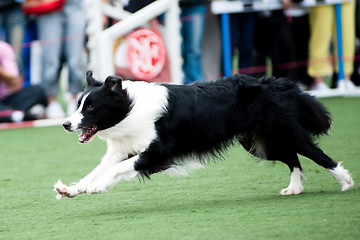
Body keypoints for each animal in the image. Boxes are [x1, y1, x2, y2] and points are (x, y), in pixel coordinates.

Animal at [54, 71, 354, 199]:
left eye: (91, 107)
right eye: (79, 104)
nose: (66, 124)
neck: (130, 108)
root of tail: (272, 81)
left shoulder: (158, 151)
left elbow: (117, 169)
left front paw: (95, 187)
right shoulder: (121, 148)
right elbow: (97, 169)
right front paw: (72, 189)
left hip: (281, 130)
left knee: (315, 153)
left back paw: (345, 181)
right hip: (259, 141)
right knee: (293, 157)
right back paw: (294, 188)